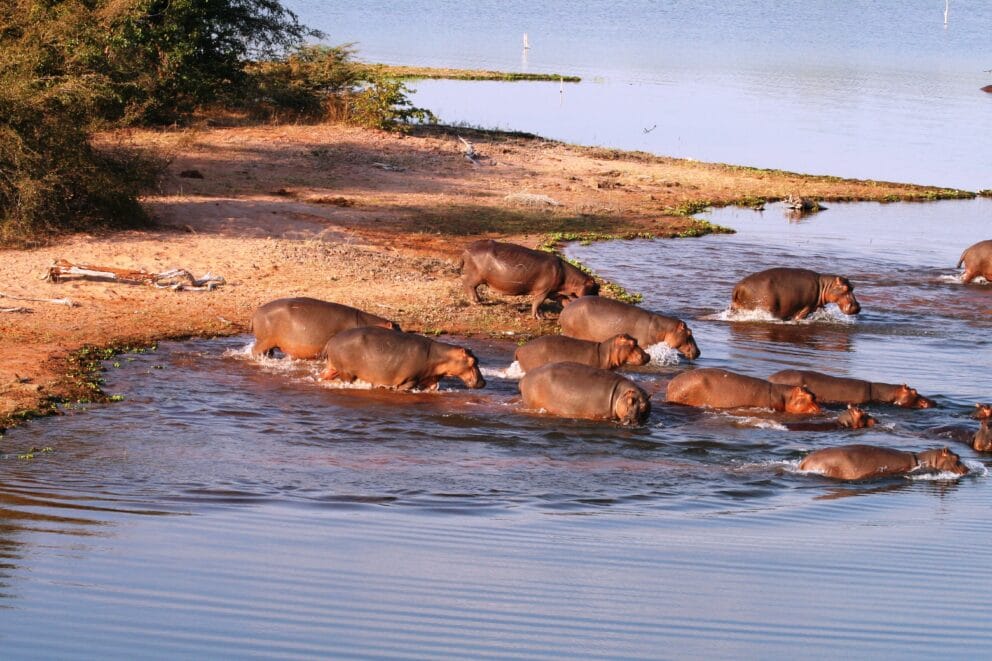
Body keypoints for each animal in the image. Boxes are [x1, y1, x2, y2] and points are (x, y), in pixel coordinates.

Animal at [321, 327, 485, 390]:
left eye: (478, 360)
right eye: (472, 361)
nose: (484, 382)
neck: (441, 356)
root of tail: (331, 341)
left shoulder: (431, 379)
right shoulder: (410, 380)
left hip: (333, 368)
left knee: (324, 375)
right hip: (346, 372)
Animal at [458, 240, 599, 318]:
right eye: (595, 287)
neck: (573, 280)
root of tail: (466, 249)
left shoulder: (556, 292)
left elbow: (565, 302)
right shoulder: (543, 291)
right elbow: (537, 303)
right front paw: (539, 317)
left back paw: (479, 300)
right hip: (477, 276)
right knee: (467, 284)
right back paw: (477, 302)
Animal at [730, 267, 861, 320]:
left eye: (853, 287)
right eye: (844, 288)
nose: (857, 307)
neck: (825, 286)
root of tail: (738, 287)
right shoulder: (806, 307)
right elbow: (799, 317)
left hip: (736, 307)